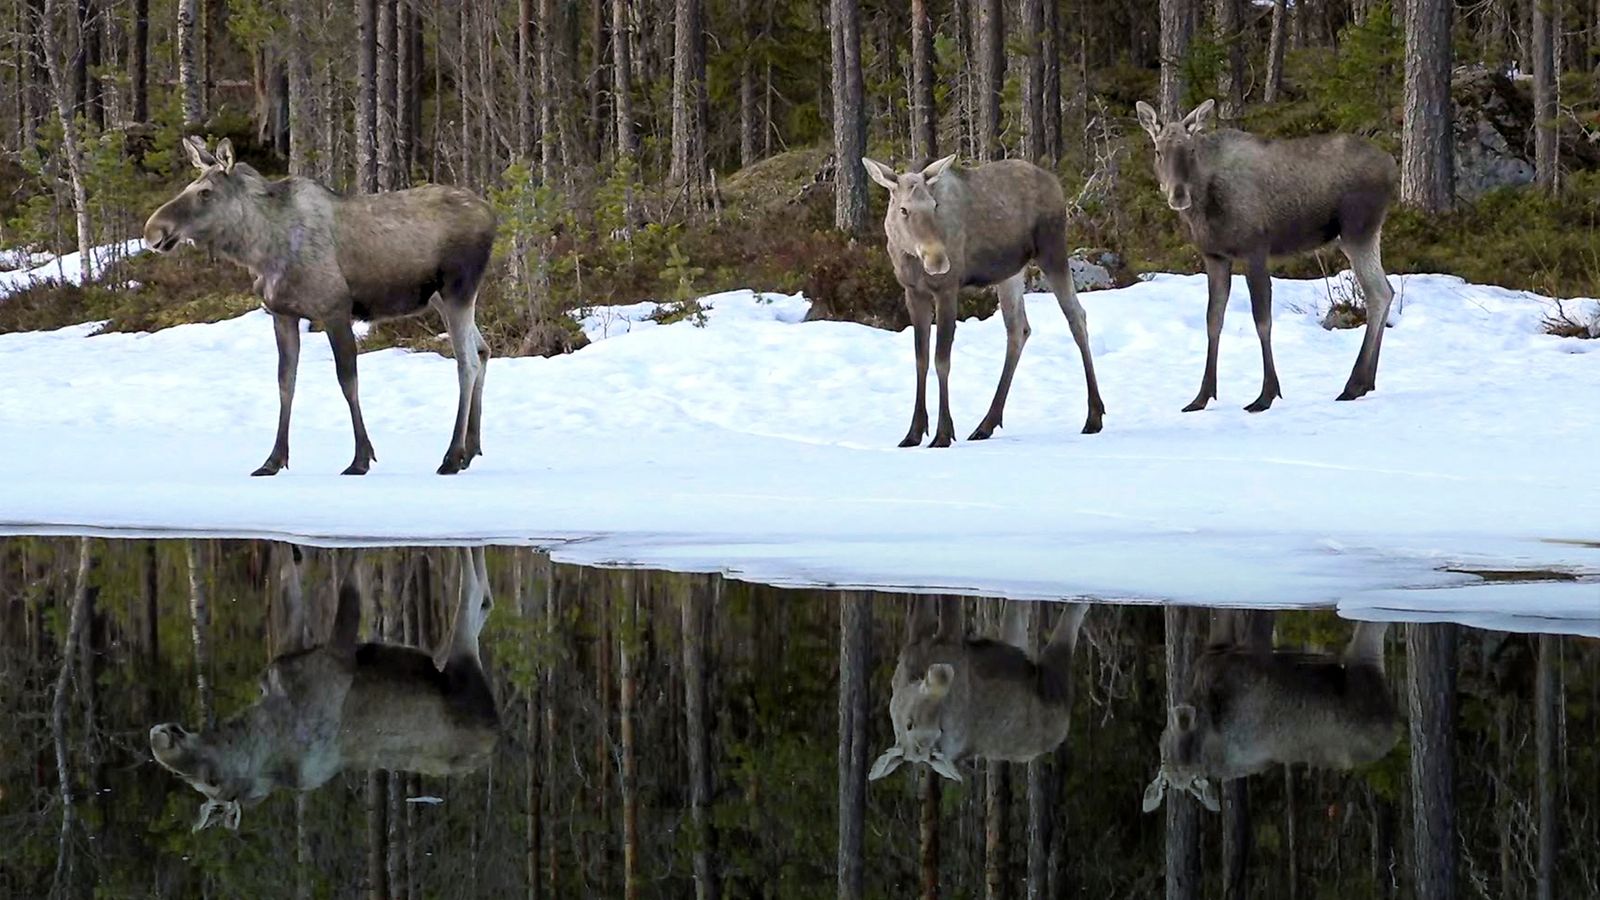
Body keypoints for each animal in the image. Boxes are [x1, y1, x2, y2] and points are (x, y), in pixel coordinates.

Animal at [143, 136, 497, 476]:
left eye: (205, 192)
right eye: (188, 188)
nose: (152, 231)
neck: (259, 248)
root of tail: (493, 215)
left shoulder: (335, 309)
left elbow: (347, 380)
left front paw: (360, 458)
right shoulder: (282, 314)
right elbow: (286, 382)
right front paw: (273, 460)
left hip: (458, 290)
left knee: (466, 361)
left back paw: (451, 457)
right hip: (441, 299)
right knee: (482, 350)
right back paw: (470, 451)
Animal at [148, 547, 499, 831]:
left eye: (209, 779)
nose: (160, 736)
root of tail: (493, 734)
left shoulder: (314, 654)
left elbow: (301, 574)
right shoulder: (328, 656)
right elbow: (332, 579)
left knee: (479, 592)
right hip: (460, 660)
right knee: (479, 595)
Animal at [861, 155, 1106, 448]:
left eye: (934, 206)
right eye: (903, 210)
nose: (938, 260)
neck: (909, 258)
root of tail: (1055, 182)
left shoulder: (947, 289)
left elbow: (942, 360)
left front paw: (943, 433)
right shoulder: (913, 292)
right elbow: (921, 359)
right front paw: (914, 433)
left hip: (1052, 249)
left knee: (1076, 317)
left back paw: (1094, 416)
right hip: (1011, 272)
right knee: (1019, 329)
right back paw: (986, 424)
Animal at [869, 598, 1089, 782]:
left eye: (938, 729)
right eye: (909, 724)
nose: (942, 675)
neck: (913, 677)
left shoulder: (924, 635)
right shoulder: (944, 637)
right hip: (1050, 678)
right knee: (1067, 618)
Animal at [1134, 99, 1400, 413]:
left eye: (1190, 150)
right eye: (1158, 151)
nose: (1178, 195)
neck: (1204, 205)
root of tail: (1393, 167)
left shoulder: (1255, 250)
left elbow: (1262, 320)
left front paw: (1266, 394)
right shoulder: (1215, 256)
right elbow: (1213, 320)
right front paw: (1201, 396)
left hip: (1357, 231)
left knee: (1376, 294)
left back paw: (1353, 384)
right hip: (1361, 236)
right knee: (1386, 291)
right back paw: (1365, 382)